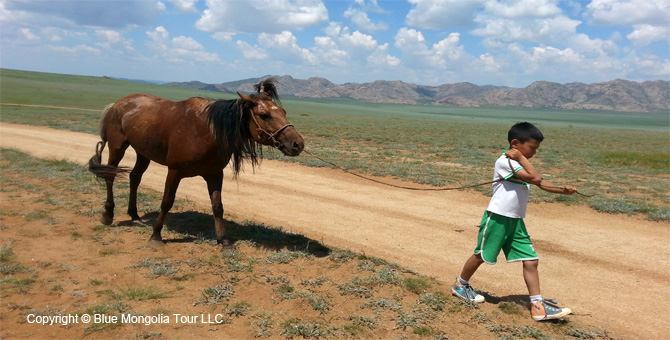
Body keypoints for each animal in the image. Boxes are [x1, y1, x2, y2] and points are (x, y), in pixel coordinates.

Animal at [88, 78, 304, 246]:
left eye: (283, 112)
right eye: (264, 115)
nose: (297, 143)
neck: (208, 131)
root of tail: (117, 104)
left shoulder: (214, 173)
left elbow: (218, 205)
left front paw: (223, 240)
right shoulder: (174, 171)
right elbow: (167, 201)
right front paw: (156, 236)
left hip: (143, 152)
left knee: (135, 177)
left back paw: (134, 215)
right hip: (118, 146)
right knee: (110, 176)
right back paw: (108, 215)